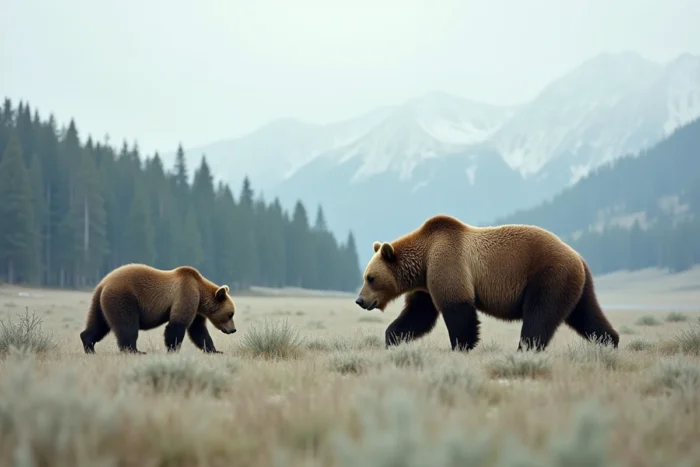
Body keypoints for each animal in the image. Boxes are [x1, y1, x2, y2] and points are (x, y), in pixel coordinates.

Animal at [79, 263, 237, 354]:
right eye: (230, 314)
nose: (233, 330)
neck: (200, 291)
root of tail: (103, 283)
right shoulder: (186, 294)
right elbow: (177, 325)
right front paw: (173, 349)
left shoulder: (196, 307)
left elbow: (198, 330)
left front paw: (215, 350)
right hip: (123, 297)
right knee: (127, 324)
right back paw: (134, 350)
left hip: (100, 303)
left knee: (98, 323)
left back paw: (88, 345)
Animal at [354, 214, 619, 352]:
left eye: (370, 277)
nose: (360, 300)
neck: (424, 258)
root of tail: (578, 257)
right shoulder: (426, 285)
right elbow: (418, 314)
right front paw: (392, 338)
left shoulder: (448, 263)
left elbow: (458, 310)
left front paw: (462, 346)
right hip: (578, 285)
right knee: (587, 315)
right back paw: (610, 342)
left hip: (548, 276)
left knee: (539, 315)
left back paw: (524, 350)